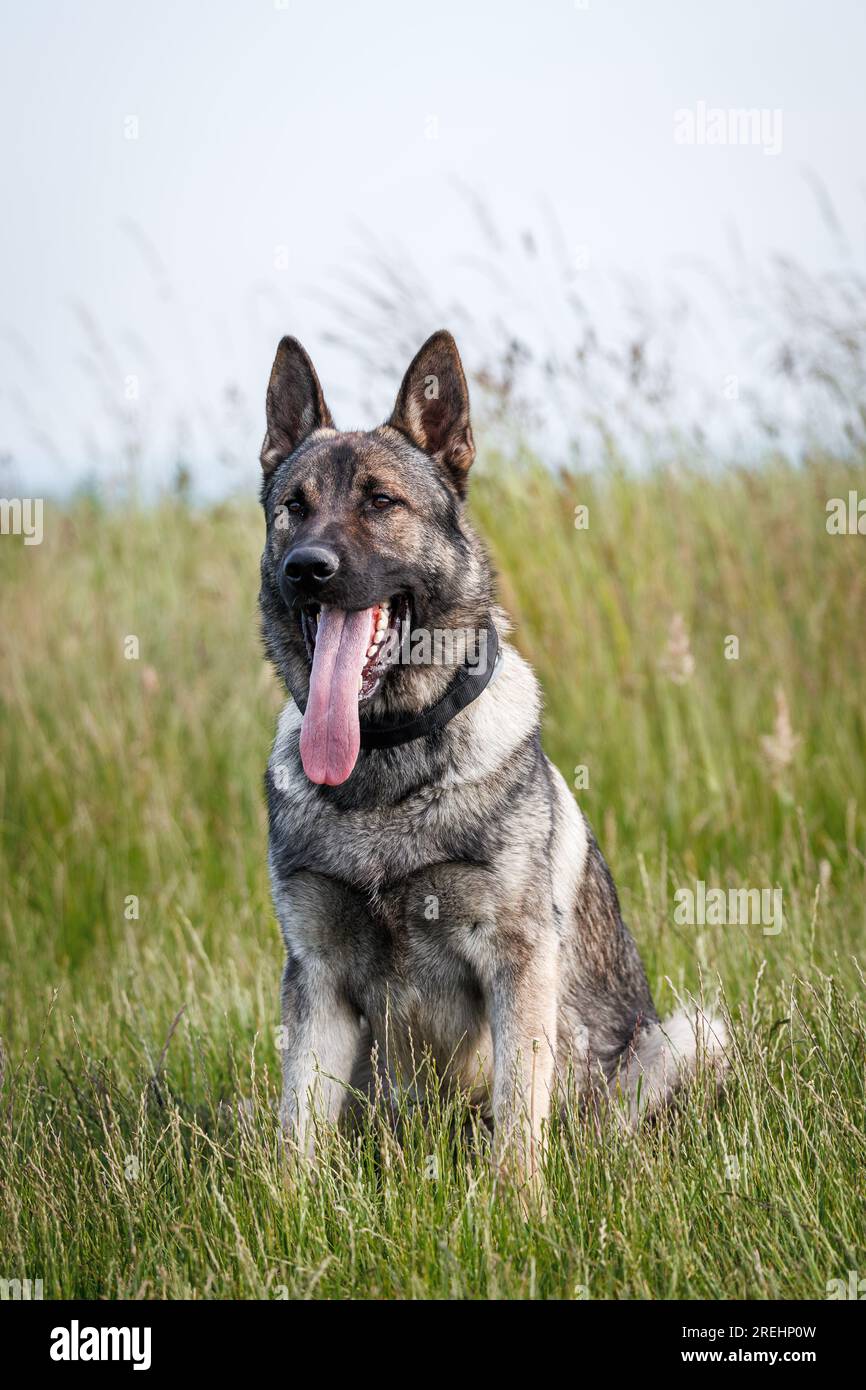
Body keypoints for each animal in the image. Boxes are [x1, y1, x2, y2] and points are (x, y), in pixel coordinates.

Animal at [258, 330, 733, 1178]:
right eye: (294, 506)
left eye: (380, 501)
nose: (305, 568)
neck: (386, 760)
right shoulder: (318, 980)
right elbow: (297, 1132)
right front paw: (287, 1203)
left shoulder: (517, 962)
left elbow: (517, 1118)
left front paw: (519, 1201)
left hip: (690, 1038)